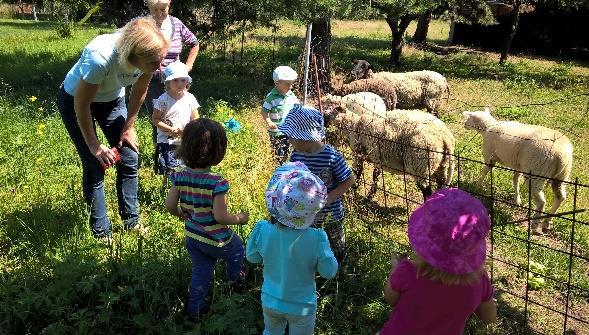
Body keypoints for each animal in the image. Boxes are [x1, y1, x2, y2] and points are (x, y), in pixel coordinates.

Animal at [322, 106, 454, 200]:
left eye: (330, 110)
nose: (323, 118)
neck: (353, 125)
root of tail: (444, 136)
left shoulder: (359, 154)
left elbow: (357, 172)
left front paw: (354, 189)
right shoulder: (377, 158)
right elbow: (375, 176)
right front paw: (370, 195)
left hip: (420, 165)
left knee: (427, 191)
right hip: (439, 165)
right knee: (440, 186)